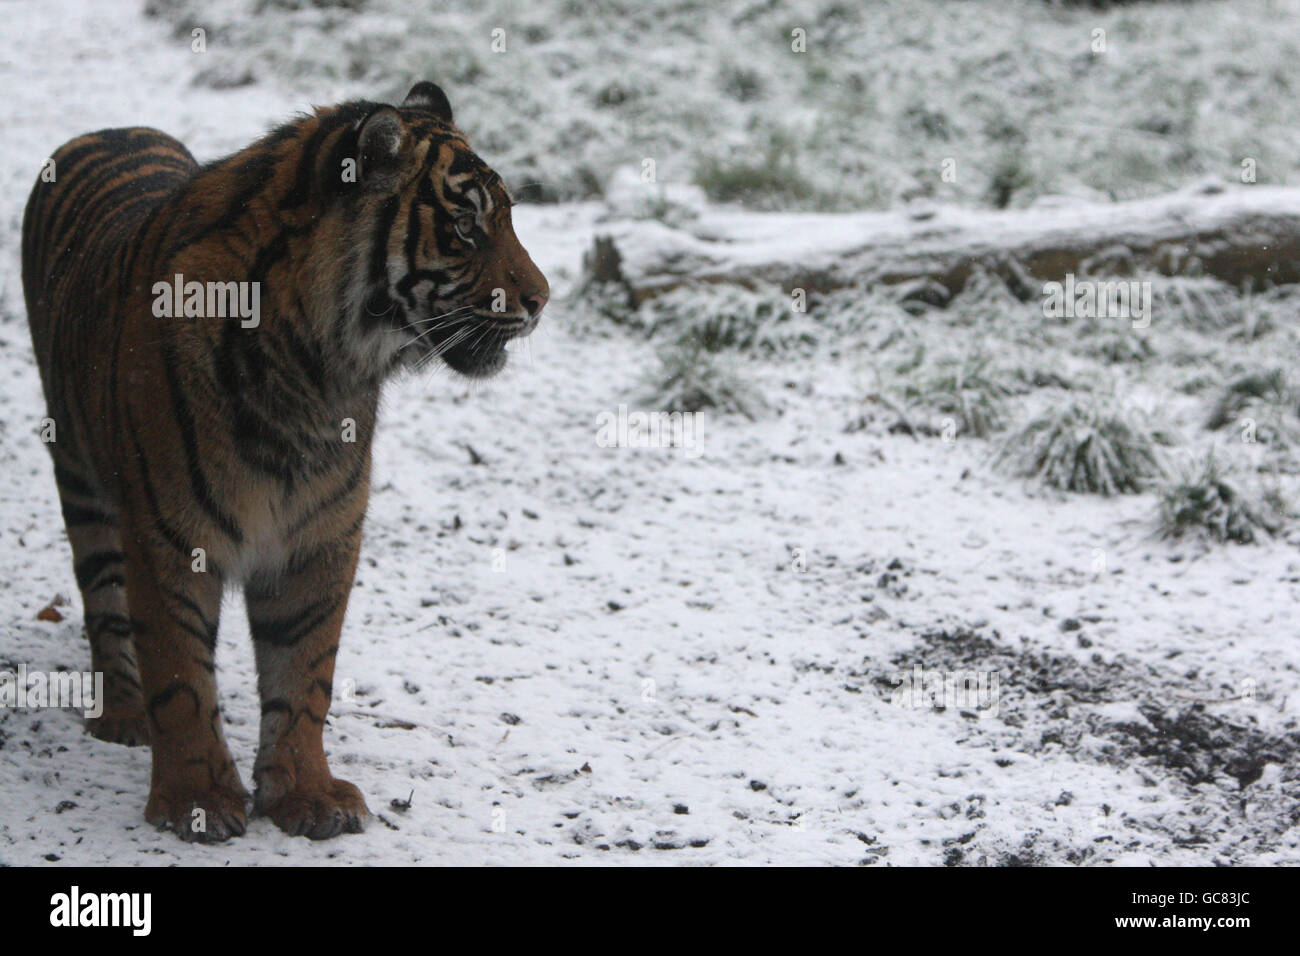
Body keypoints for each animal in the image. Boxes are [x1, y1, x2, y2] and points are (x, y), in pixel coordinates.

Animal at [20, 83, 548, 842]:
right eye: (466, 228)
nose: (542, 300)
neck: (317, 368)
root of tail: (111, 128)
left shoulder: (320, 535)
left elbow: (305, 673)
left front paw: (307, 793)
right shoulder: (171, 536)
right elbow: (179, 674)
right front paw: (196, 798)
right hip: (81, 477)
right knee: (103, 601)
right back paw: (122, 714)